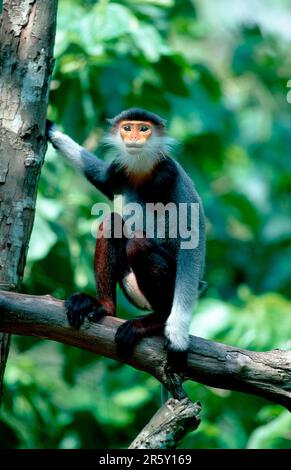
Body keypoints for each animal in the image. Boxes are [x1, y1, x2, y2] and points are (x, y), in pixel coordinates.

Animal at [46, 108, 206, 370]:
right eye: (127, 128)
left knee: (139, 245)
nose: (134, 138)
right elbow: (101, 177)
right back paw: (104, 306)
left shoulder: (168, 172)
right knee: (112, 222)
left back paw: (158, 320)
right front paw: (52, 131)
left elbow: (192, 241)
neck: (142, 168)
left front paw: (177, 333)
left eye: (144, 128)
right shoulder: (118, 169)